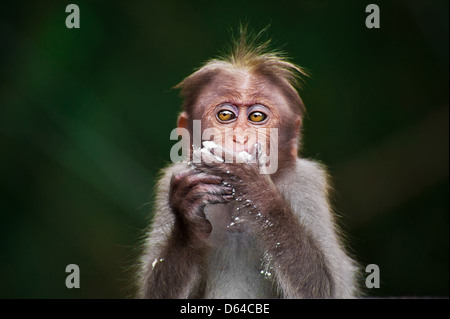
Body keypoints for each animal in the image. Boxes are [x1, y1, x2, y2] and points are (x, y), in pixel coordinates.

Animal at [135, 28, 360, 298]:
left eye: (256, 117)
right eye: (225, 115)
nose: (240, 137)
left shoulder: (306, 183)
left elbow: (326, 286)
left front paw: (254, 186)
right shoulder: (170, 180)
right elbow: (153, 292)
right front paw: (187, 218)